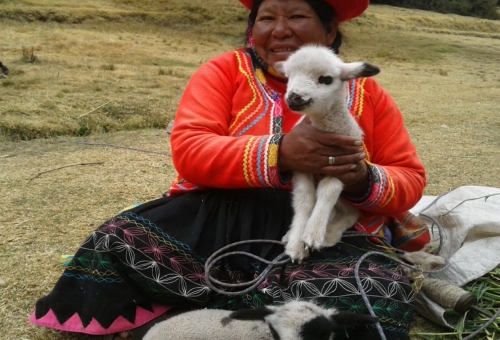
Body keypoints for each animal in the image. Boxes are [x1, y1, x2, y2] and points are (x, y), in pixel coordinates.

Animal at [274, 45, 378, 262]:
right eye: (288, 77)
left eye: (326, 79)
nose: (294, 97)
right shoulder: (301, 166)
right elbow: (305, 199)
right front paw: (296, 244)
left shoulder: (342, 165)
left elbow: (327, 192)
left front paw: (313, 234)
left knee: (351, 212)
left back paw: (329, 234)